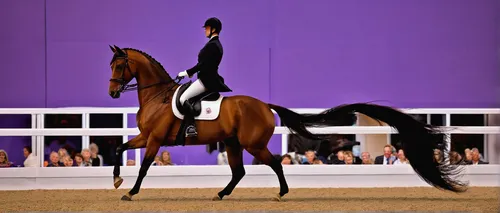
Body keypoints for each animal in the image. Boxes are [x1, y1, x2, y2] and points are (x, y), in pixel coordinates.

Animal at [107, 44, 466, 201]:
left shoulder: (155, 140)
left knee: (275, 163)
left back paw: (281, 193)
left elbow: (143, 166)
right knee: (239, 171)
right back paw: (222, 194)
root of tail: (265, 105)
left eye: (119, 65)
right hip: (235, 143)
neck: (157, 96)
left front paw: (130, 192)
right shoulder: (144, 137)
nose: (112, 92)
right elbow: (120, 148)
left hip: (251, 143)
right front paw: (117, 181)